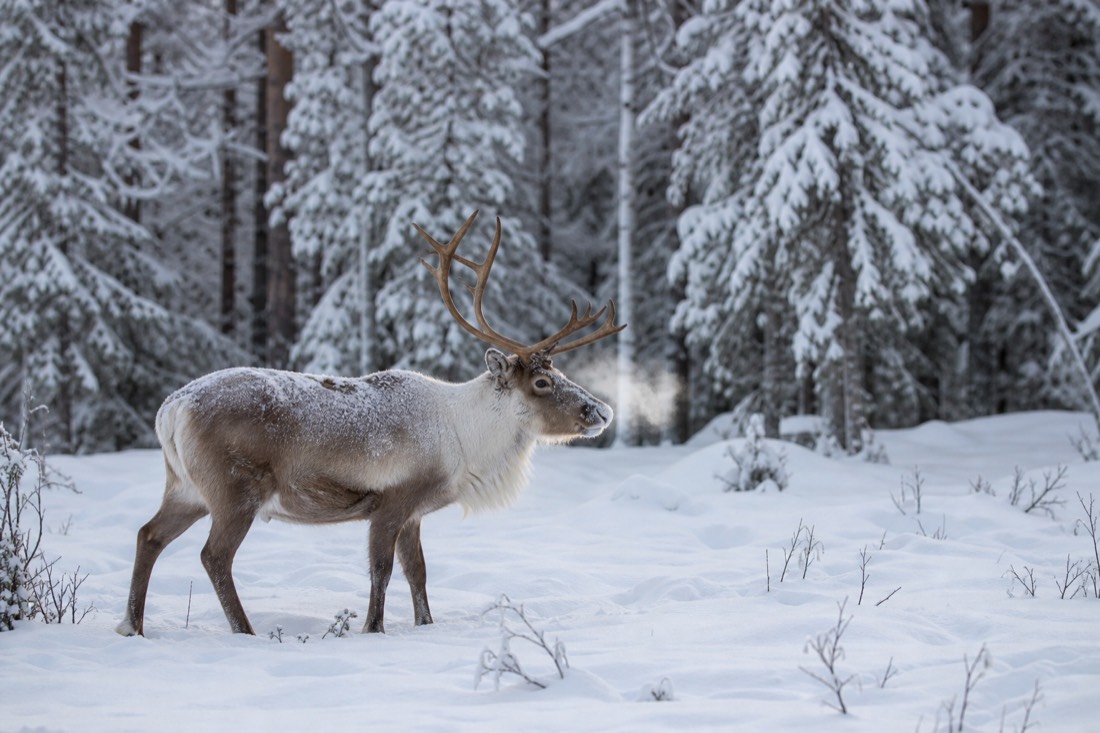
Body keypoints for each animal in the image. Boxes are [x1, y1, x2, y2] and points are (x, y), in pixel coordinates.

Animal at [116, 210, 624, 637]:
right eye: (541, 381)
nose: (601, 411)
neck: (465, 443)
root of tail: (171, 409)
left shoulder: (416, 512)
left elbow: (418, 573)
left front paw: (425, 625)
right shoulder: (391, 500)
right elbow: (381, 571)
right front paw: (372, 629)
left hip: (186, 487)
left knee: (148, 535)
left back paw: (132, 627)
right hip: (234, 489)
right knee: (214, 556)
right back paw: (245, 631)